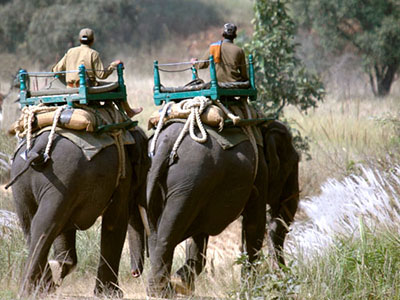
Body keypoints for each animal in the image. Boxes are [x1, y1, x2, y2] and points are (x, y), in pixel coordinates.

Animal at [8, 126, 150, 298]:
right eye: (147, 167)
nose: (135, 273)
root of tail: (38, 149)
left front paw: (61, 266)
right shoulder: (123, 177)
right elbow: (115, 223)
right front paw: (111, 294)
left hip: (23, 183)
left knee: (32, 225)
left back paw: (44, 287)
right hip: (63, 176)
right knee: (46, 225)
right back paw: (33, 291)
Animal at [145, 122, 268, 298]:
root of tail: (166, 143)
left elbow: (199, 236)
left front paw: (183, 283)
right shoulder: (260, 173)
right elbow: (255, 223)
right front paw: (251, 290)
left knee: (155, 231)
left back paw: (165, 289)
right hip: (191, 177)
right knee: (170, 230)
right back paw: (162, 292)